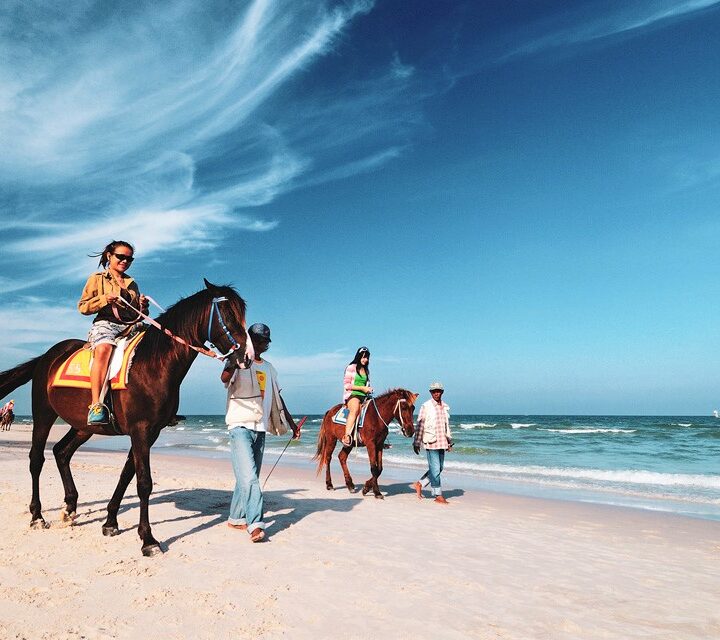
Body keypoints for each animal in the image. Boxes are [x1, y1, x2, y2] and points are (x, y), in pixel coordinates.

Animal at [0, 280, 252, 556]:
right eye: (228, 314)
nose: (247, 356)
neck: (152, 364)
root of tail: (47, 357)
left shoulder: (149, 433)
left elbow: (126, 475)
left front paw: (110, 522)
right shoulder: (140, 430)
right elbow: (144, 482)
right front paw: (148, 539)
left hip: (83, 426)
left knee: (61, 452)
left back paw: (70, 508)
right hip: (44, 415)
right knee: (37, 459)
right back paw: (37, 516)